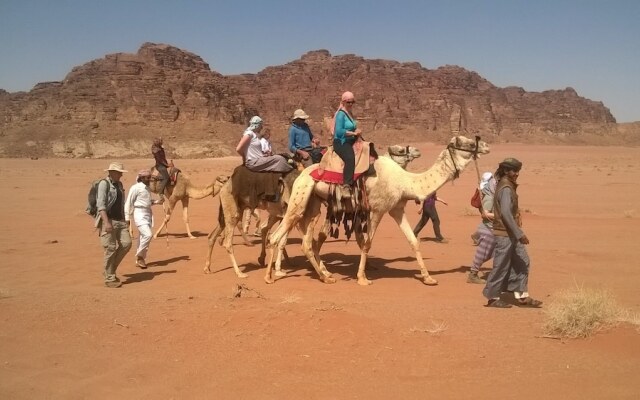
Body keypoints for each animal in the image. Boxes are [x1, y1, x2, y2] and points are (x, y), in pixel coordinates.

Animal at [264, 136, 490, 286]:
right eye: (469, 144)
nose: (486, 145)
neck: (405, 182)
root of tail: (302, 173)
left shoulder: (397, 209)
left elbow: (413, 240)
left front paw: (428, 278)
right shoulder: (377, 210)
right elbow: (367, 243)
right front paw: (362, 278)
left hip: (313, 204)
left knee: (306, 241)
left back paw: (325, 276)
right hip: (300, 198)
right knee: (278, 235)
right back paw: (270, 277)